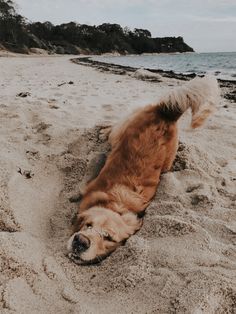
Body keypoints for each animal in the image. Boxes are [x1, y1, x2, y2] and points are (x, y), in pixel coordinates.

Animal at [67, 76, 219, 264]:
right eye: (88, 225)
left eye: (109, 238)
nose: (80, 241)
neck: (116, 205)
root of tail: (166, 112)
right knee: (115, 128)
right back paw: (103, 132)